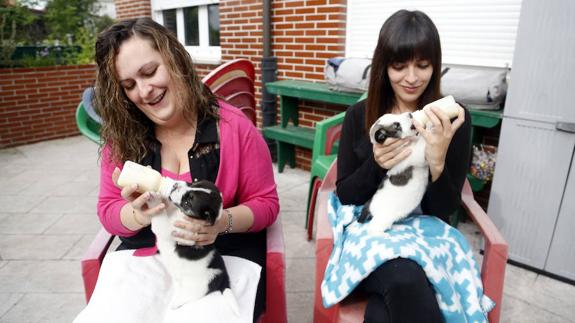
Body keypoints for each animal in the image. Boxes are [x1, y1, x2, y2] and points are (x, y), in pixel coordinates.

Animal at [150, 180, 240, 314]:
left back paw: (176, 302)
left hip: (201, 285)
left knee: (189, 296)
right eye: (193, 183)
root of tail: (224, 278)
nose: (175, 185)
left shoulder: (171, 230)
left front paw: (154, 199)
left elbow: (160, 218)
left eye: (188, 202)